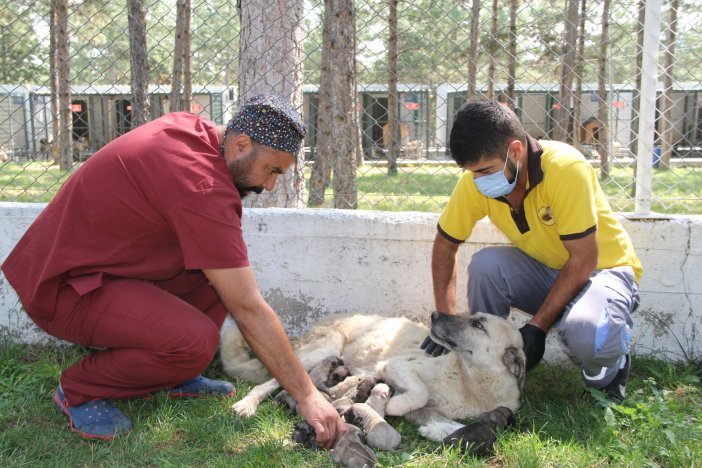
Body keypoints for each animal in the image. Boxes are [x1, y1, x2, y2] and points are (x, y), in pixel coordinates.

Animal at [223, 310, 524, 446]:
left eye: (477, 323)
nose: (434, 314)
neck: (469, 381)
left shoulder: (429, 411)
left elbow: (454, 425)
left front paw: (437, 431)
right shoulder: (396, 366)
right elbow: (419, 392)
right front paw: (393, 405)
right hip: (321, 350)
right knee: (270, 382)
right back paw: (246, 405)